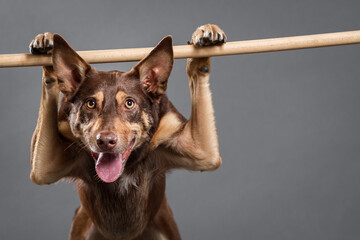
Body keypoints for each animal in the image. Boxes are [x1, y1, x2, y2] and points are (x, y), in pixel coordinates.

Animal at [30, 23, 225, 239]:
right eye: (90, 103)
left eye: (129, 103)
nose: (105, 141)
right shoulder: (46, 167)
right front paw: (46, 48)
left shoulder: (200, 152)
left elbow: (198, 68)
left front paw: (204, 37)